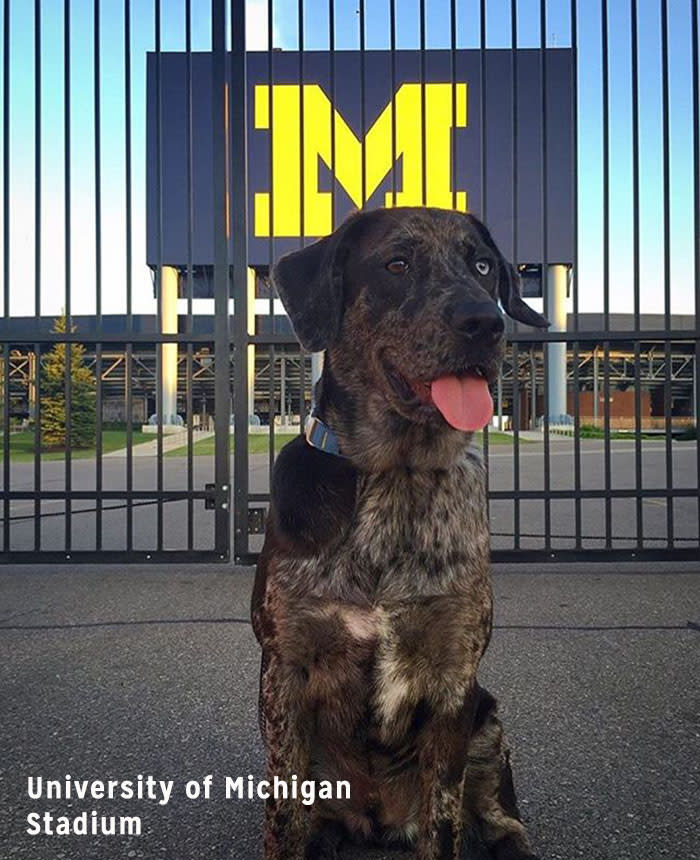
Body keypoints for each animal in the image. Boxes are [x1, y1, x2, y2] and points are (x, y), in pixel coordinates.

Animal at [249, 205, 548, 856]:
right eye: (397, 264)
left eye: (482, 266)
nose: (485, 322)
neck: (396, 475)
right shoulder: (284, 671)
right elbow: (283, 816)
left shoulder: (455, 678)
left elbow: (445, 820)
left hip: (489, 725)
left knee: (503, 822)